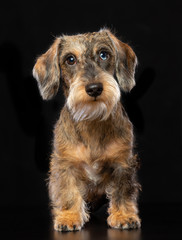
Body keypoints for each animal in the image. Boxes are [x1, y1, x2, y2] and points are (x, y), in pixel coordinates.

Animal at [32, 29, 141, 232]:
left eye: (104, 54)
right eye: (70, 59)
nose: (94, 88)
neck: (92, 120)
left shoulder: (123, 163)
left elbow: (122, 191)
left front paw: (123, 215)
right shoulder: (64, 165)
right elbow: (68, 193)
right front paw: (69, 217)